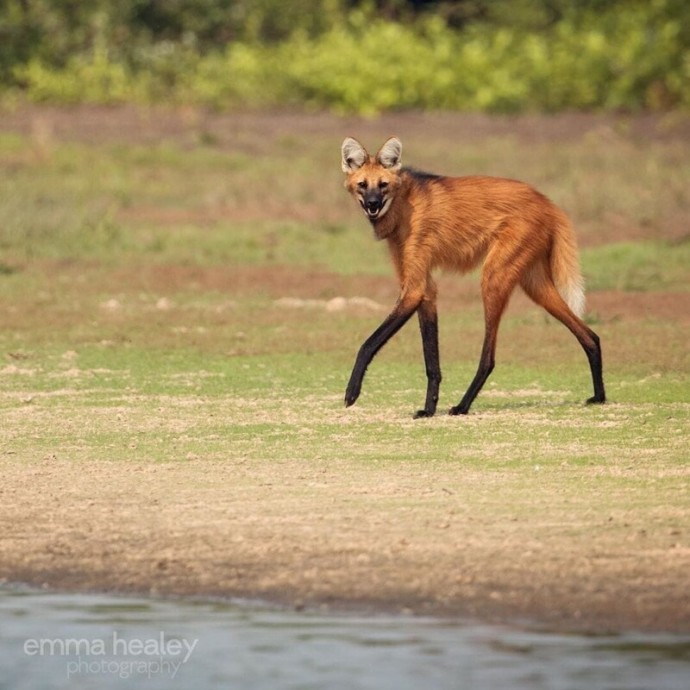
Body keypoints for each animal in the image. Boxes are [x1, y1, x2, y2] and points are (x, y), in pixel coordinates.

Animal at [338, 134, 600, 414]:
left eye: (383, 185)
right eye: (363, 185)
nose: (373, 205)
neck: (401, 206)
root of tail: (549, 203)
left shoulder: (414, 289)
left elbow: (367, 344)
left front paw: (351, 392)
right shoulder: (425, 291)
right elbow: (431, 362)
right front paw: (429, 410)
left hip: (493, 278)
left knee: (489, 358)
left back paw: (462, 405)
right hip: (535, 284)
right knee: (590, 335)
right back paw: (599, 396)